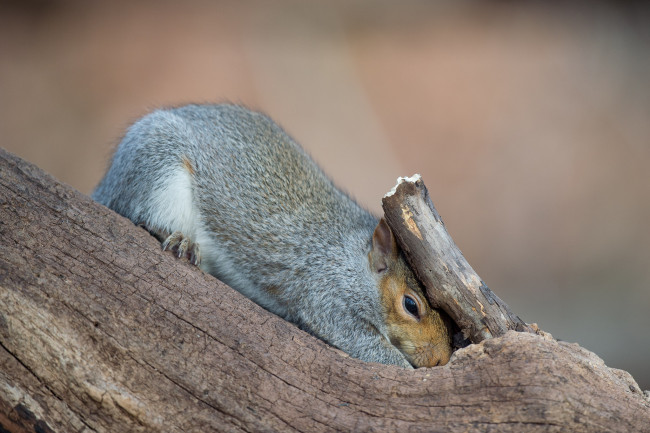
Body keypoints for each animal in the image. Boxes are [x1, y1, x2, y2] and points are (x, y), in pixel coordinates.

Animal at [93, 103, 454, 366]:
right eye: (411, 305)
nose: (440, 359)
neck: (353, 255)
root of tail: (106, 184)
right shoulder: (326, 292)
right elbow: (360, 341)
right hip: (158, 168)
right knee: (136, 211)